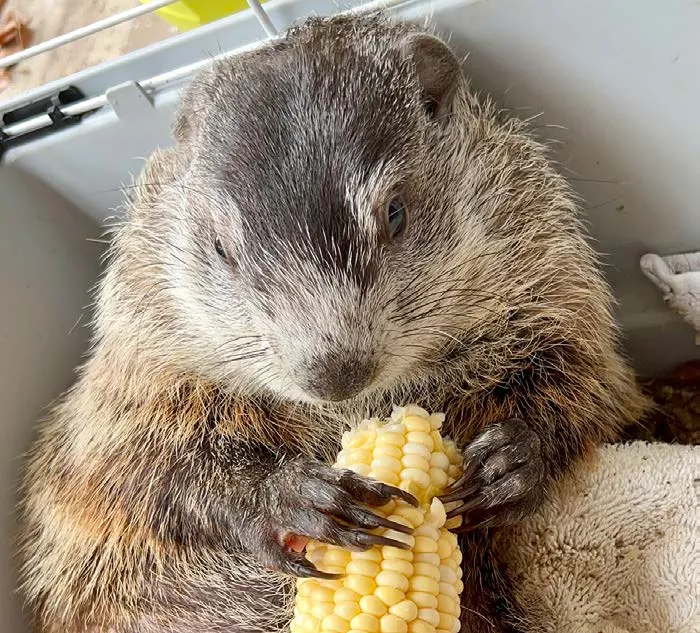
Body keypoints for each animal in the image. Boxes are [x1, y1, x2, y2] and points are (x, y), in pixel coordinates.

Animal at [19, 14, 648, 633]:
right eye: (220, 247)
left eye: (395, 212)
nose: (333, 372)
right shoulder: (143, 349)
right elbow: (138, 456)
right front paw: (294, 497)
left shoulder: (550, 267)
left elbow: (580, 369)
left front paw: (511, 458)